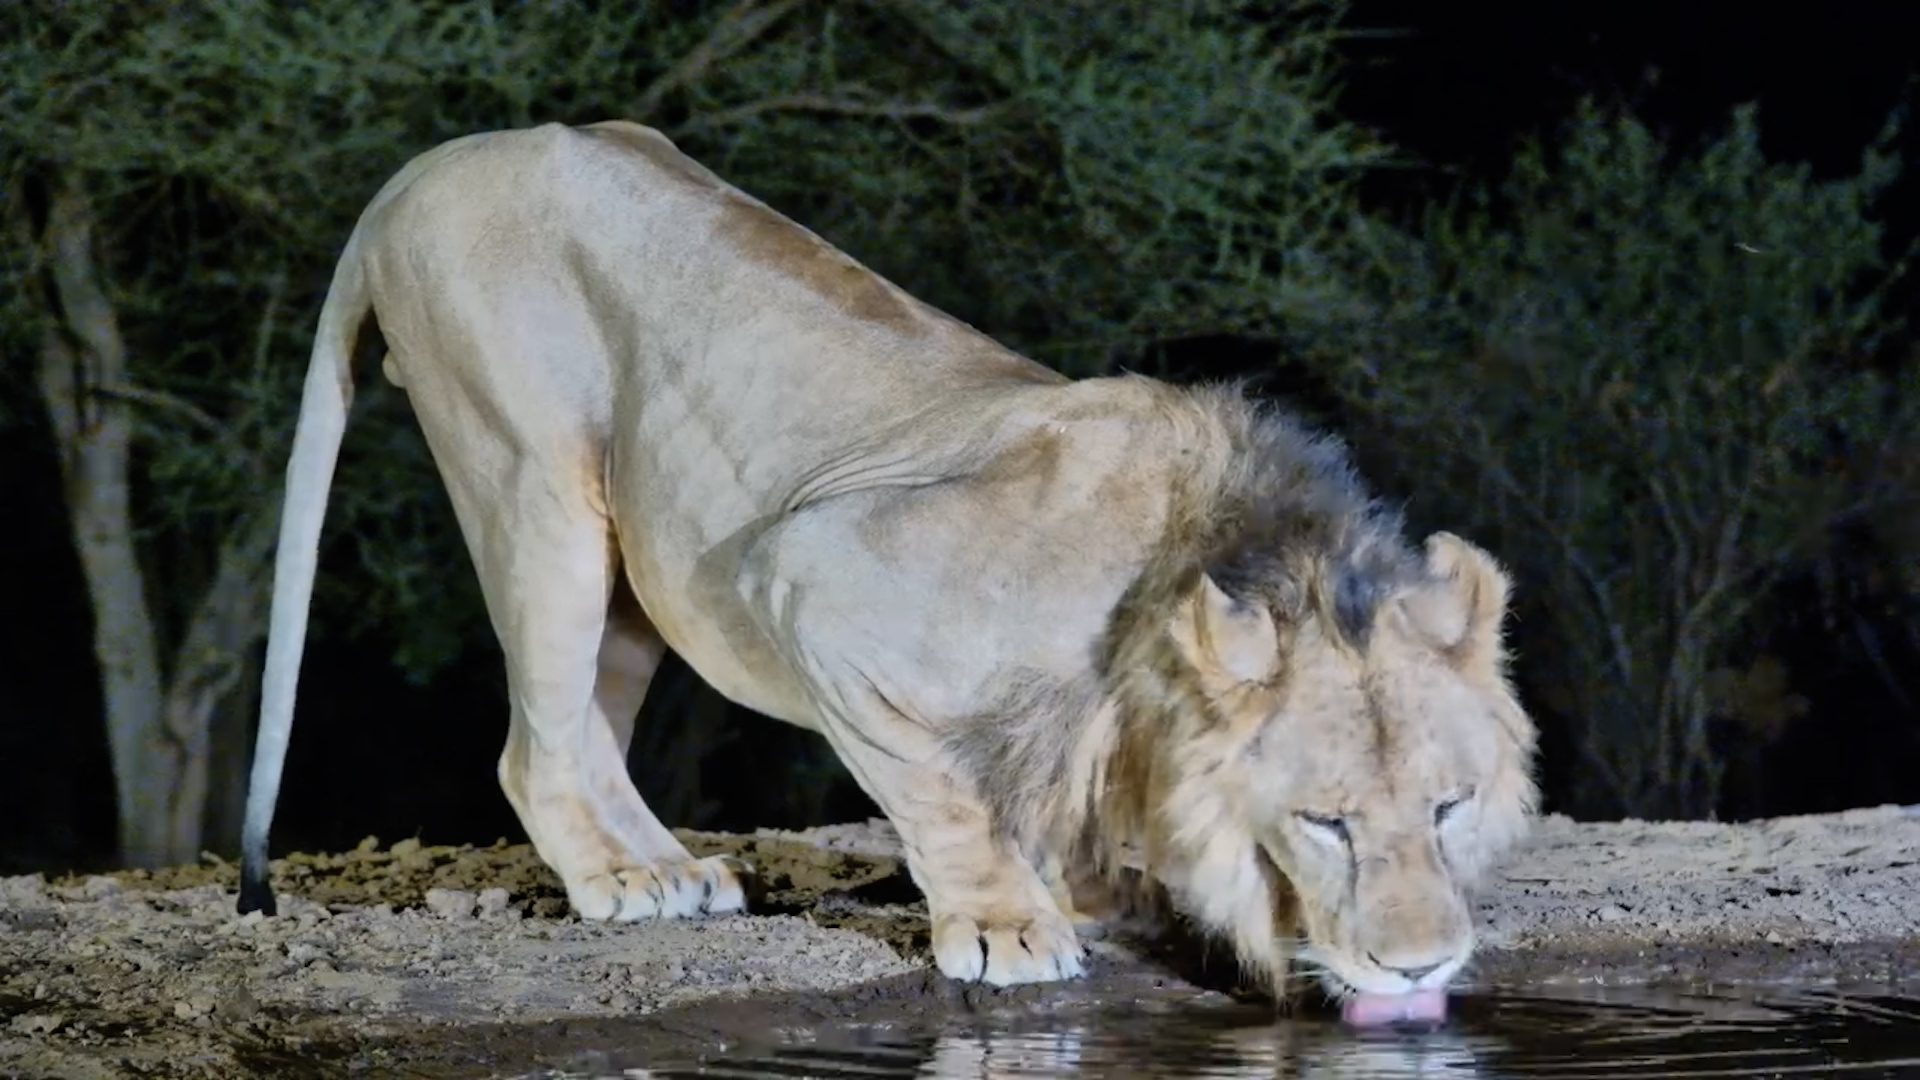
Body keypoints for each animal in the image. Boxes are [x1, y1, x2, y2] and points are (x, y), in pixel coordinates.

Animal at [236, 119, 1537, 1020]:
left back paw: (670, 871)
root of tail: (427, 164)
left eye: (1448, 806)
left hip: (637, 559)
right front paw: (1011, 928)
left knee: (590, 723)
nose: (1424, 964)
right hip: (534, 476)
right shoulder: (814, 574)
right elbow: (944, 791)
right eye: (1325, 823)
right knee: (534, 741)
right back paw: (618, 882)